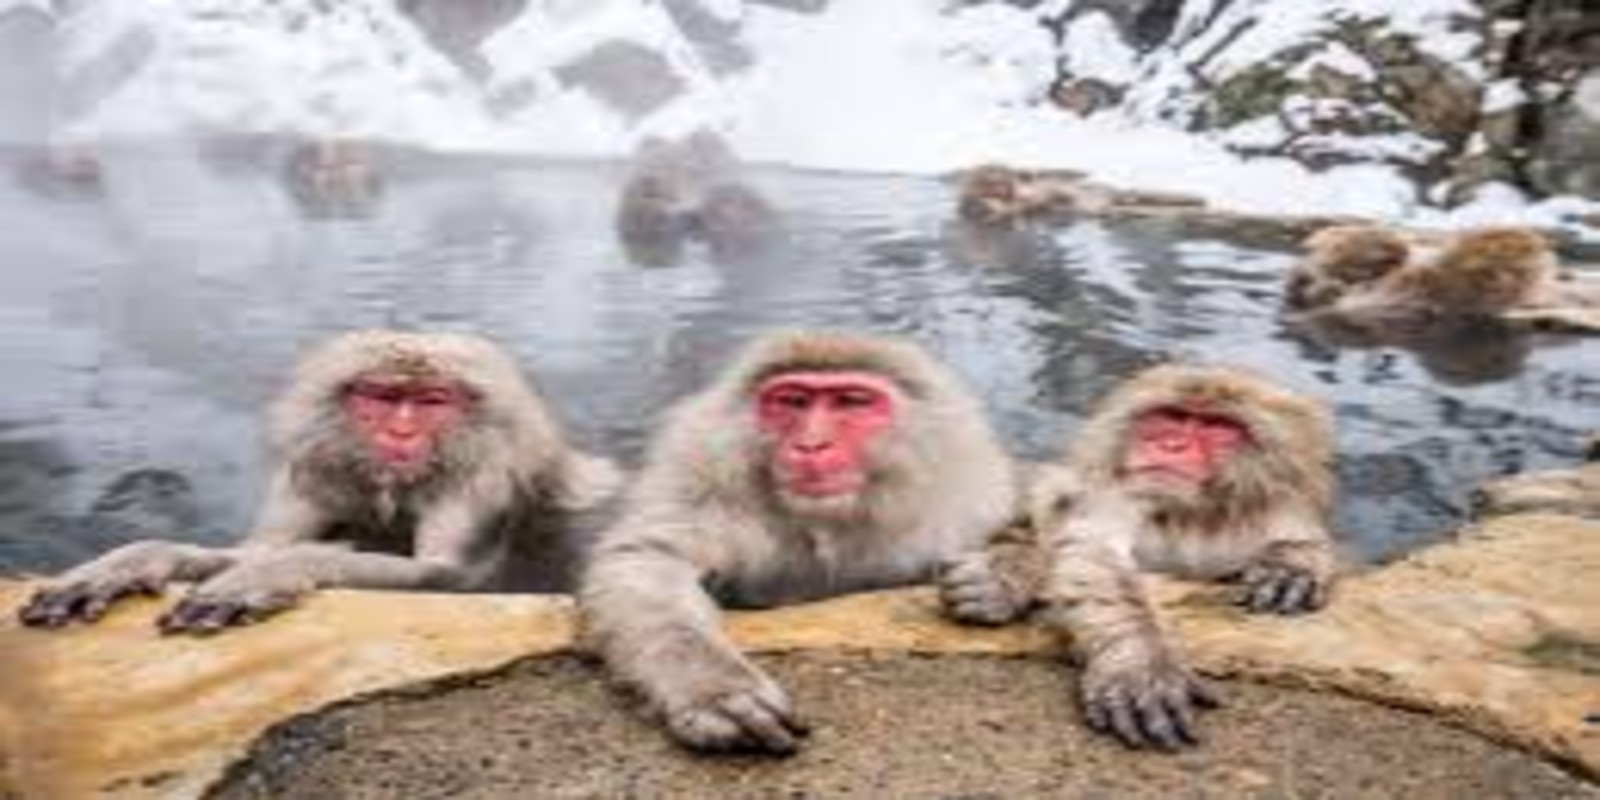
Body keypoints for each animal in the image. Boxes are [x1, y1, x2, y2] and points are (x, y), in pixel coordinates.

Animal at [18, 330, 619, 634]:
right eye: (382, 397)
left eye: (431, 402)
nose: (401, 432)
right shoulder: (315, 466)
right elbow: (255, 547)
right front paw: (125, 563)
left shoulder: (479, 477)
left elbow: (451, 577)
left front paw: (270, 575)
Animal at [579, 330, 1020, 755]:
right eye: (792, 401)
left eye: (852, 402)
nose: (810, 445)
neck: (831, 522)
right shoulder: (706, 490)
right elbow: (647, 558)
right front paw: (715, 688)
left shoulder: (970, 504)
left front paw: (1003, 580)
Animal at [939, 364, 1339, 750]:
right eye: (1170, 417)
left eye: (1218, 427)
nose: (1171, 444)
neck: (1190, 517)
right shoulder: (1120, 496)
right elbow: (1093, 549)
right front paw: (1141, 661)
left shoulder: (1276, 512)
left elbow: (1301, 543)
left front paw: (1292, 564)